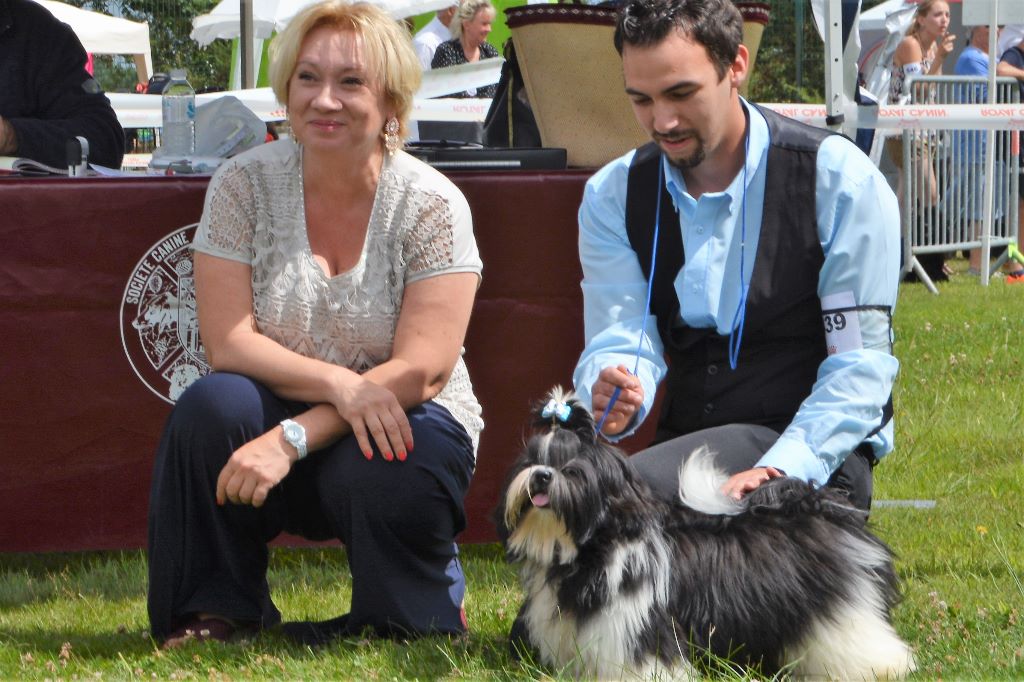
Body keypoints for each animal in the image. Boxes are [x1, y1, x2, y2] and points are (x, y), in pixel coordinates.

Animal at [495, 391, 913, 675]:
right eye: (531, 461)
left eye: (573, 469)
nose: (541, 477)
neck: (594, 551)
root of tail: (815, 506)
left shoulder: (641, 627)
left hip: (836, 610)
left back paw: (883, 667)